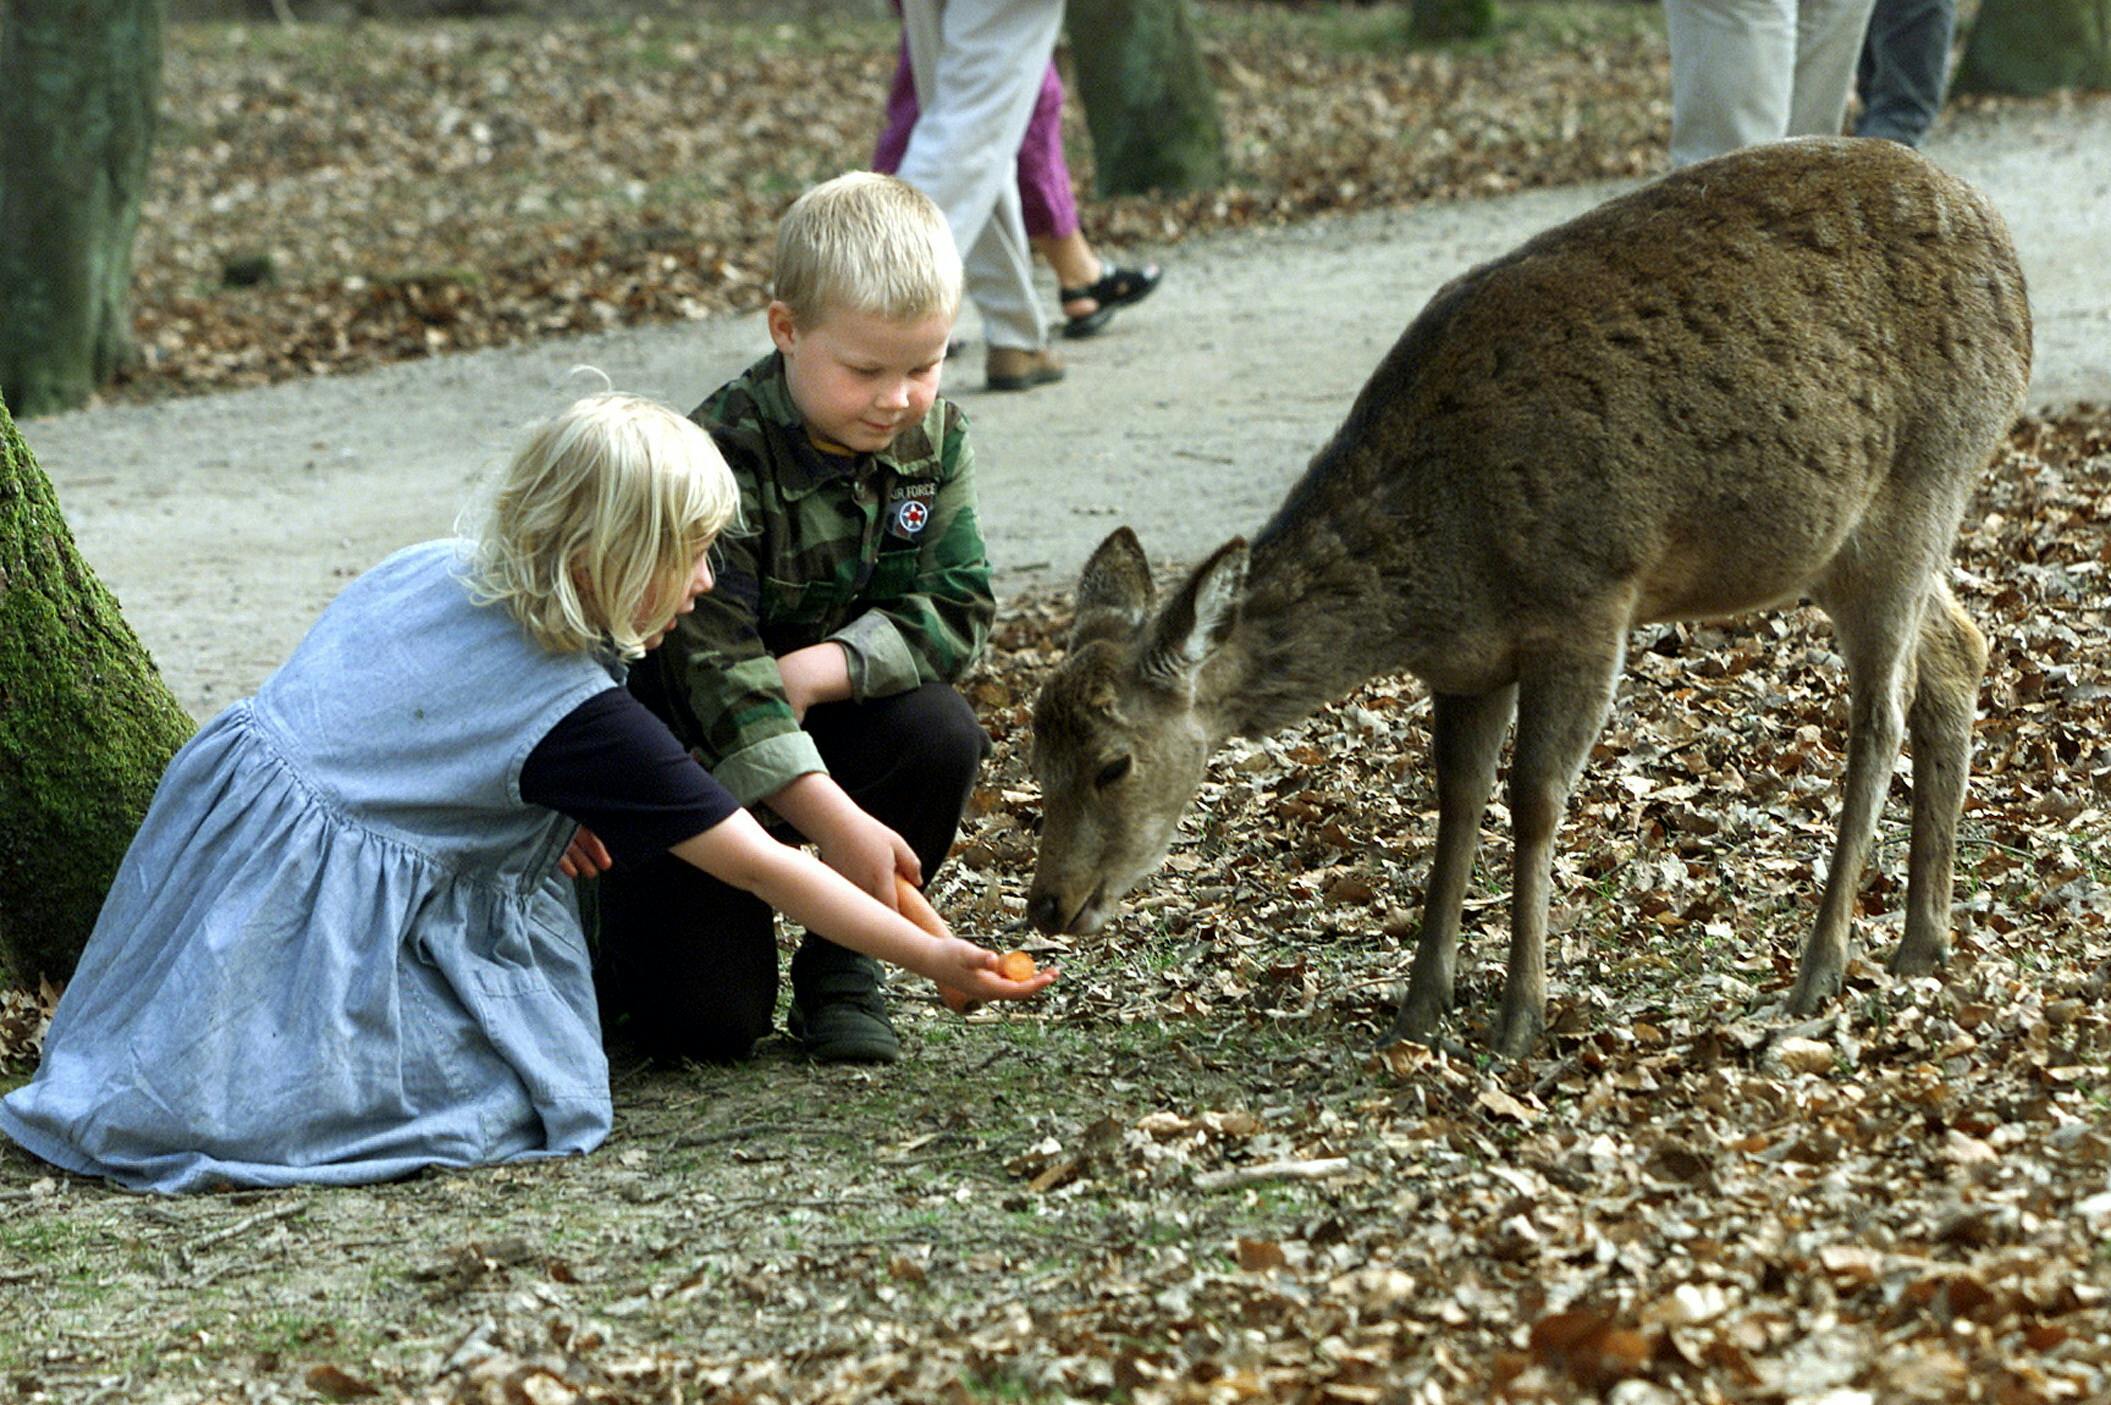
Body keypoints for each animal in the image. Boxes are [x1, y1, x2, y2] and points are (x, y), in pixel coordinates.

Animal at [1021, 139, 2026, 1050]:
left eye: (1111, 762)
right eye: (1033, 753)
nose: (1045, 904)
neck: (1441, 569)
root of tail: (2013, 270)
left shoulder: (1588, 600)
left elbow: (1536, 797)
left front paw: (1518, 1015)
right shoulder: (1467, 661)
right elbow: (1456, 798)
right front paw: (1418, 1006)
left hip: (1921, 481)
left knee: (1879, 714)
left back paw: (1820, 966)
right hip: (1847, 543)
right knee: (1961, 648)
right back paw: (1921, 942)